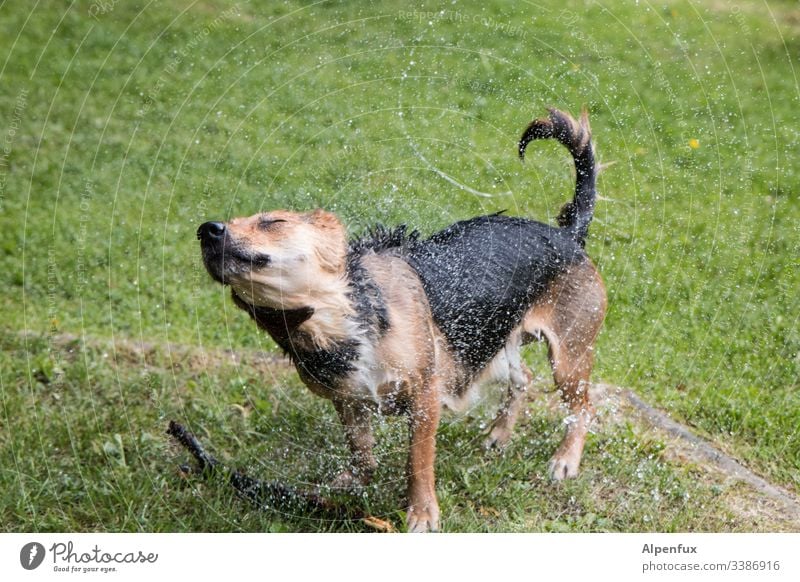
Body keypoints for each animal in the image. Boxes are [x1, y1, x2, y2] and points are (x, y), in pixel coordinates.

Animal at [198, 107, 608, 532]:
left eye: (272, 223)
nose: (206, 230)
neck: (338, 321)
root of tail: (568, 236)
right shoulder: (348, 399)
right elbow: (360, 447)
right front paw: (354, 481)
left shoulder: (425, 394)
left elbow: (418, 461)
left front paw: (422, 513)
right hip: (501, 338)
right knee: (524, 378)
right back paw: (499, 434)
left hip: (569, 354)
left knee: (584, 407)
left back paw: (565, 460)